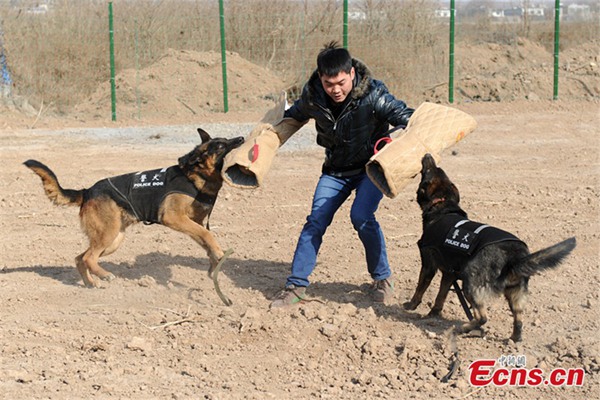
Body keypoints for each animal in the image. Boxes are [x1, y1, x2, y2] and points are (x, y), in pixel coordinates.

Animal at [23, 128, 244, 288]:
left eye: (226, 139)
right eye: (221, 145)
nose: (241, 138)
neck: (195, 175)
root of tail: (87, 191)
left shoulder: (193, 222)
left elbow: (206, 242)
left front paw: (214, 264)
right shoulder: (174, 218)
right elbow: (207, 235)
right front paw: (219, 253)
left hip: (113, 240)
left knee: (80, 258)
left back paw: (91, 282)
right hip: (108, 235)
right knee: (87, 257)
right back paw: (105, 275)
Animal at [404, 153, 576, 340]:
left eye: (428, 170)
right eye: (437, 169)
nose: (428, 155)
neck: (442, 205)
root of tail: (514, 257)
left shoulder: (429, 266)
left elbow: (420, 289)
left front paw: (410, 306)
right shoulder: (449, 274)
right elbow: (441, 295)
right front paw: (433, 313)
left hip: (470, 284)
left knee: (482, 317)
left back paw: (464, 328)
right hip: (515, 294)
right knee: (518, 319)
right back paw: (514, 338)